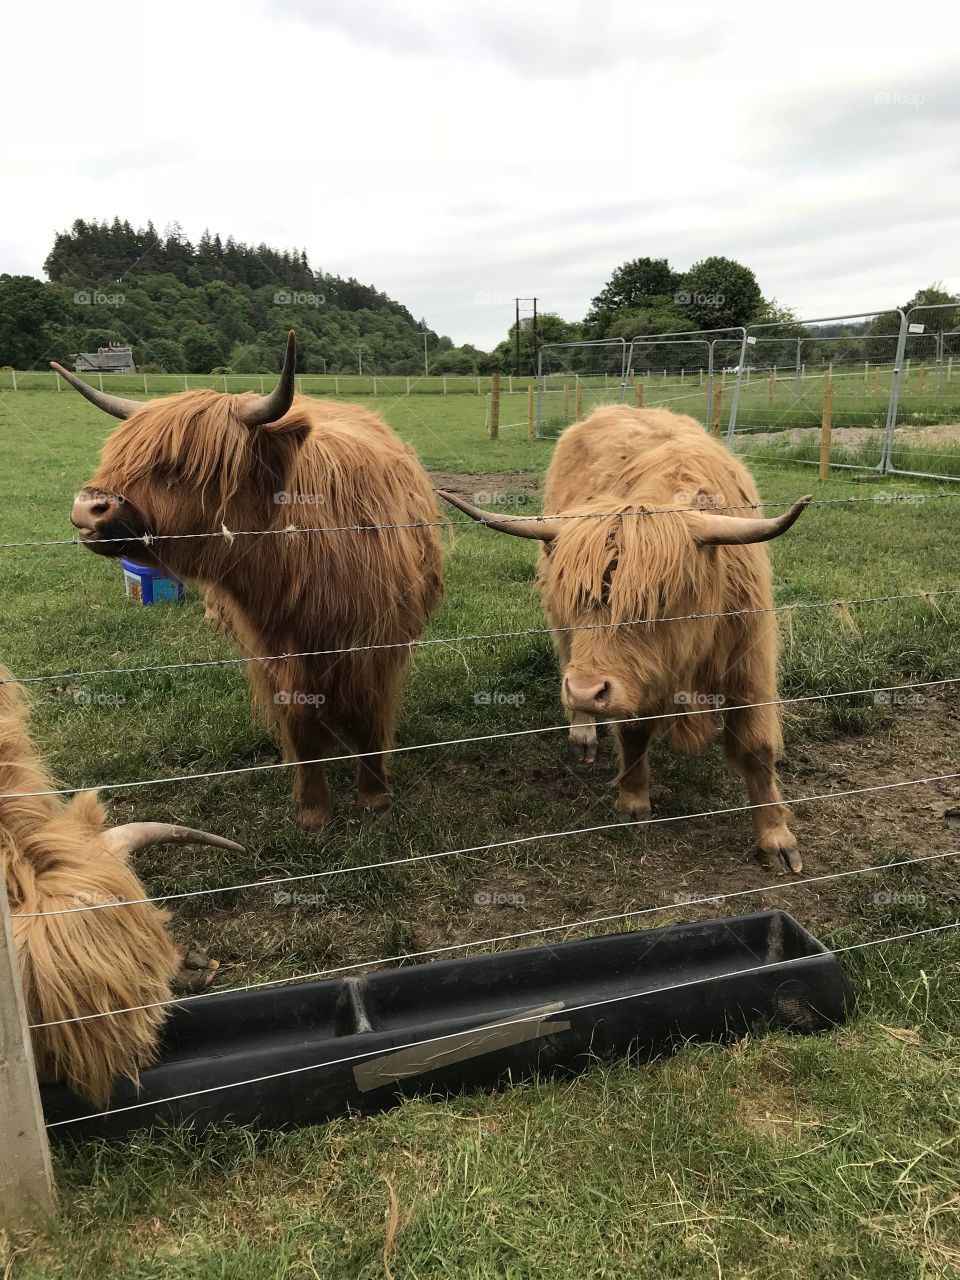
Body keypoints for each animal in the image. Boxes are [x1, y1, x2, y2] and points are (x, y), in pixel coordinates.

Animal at [53, 335, 442, 824]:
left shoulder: (376, 646)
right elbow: (301, 726)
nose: (87, 507)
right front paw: (313, 809)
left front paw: (374, 797)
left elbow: (370, 718)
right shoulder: (274, 652)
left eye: (178, 466)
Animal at [442, 404, 814, 875]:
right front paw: (634, 802)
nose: (586, 690)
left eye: (656, 601)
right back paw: (583, 733)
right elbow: (634, 733)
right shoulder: (630, 679)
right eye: (578, 597)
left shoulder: (748, 664)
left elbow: (757, 749)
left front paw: (777, 839)